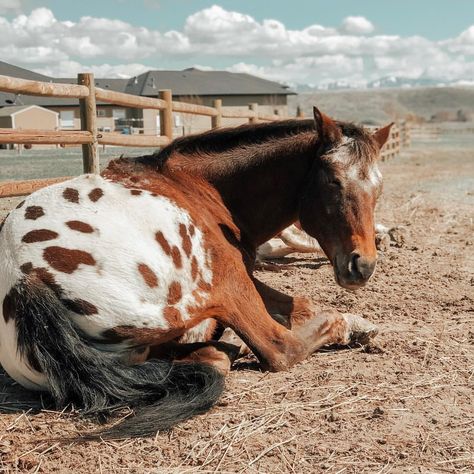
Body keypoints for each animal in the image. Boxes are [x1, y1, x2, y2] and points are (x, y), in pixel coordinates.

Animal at [0, 107, 392, 436]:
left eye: (378, 187)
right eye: (333, 181)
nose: (363, 265)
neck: (195, 185)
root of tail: (24, 281)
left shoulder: (250, 271)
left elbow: (300, 303)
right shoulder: (238, 272)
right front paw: (354, 324)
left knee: (209, 355)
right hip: (223, 287)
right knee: (277, 347)